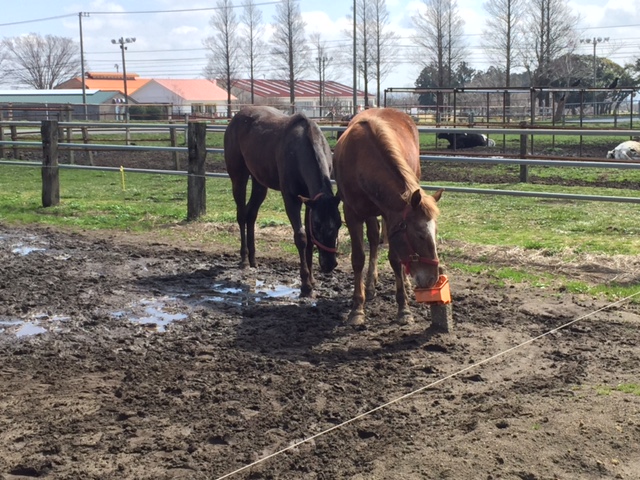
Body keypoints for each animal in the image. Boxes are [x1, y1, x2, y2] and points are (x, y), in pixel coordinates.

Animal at [224, 107, 342, 298]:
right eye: (318, 226)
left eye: (339, 224)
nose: (329, 264)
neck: (302, 149)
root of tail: (236, 117)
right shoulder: (291, 199)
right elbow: (301, 237)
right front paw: (305, 285)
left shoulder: (309, 200)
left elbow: (309, 238)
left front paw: (312, 279)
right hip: (238, 177)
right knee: (242, 215)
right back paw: (244, 259)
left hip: (259, 183)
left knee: (251, 215)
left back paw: (253, 259)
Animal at [332, 108, 442, 326]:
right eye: (419, 235)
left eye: (435, 232)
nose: (432, 279)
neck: (362, 159)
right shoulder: (352, 214)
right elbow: (358, 258)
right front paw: (357, 308)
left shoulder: (391, 216)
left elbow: (395, 259)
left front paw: (403, 309)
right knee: (374, 240)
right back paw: (369, 286)